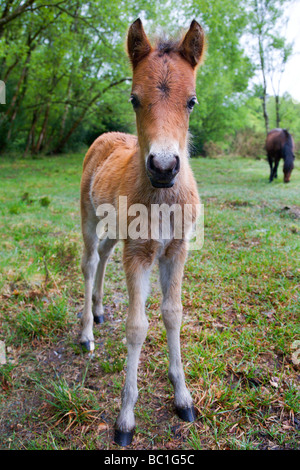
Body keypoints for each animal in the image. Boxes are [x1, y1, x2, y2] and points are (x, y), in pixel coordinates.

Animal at [80, 18, 204, 444]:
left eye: (191, 101)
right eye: (134, 99)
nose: (164, 167)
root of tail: (105, 137)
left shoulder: (176, 250)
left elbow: (173, 314)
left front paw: (183, 399)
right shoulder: (139, 254)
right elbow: (137, 327)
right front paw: (125, 420)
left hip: (115, 228)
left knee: (103, 255)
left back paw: (99, 311)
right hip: (87, 217)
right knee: (89, 262)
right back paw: (87, 333)